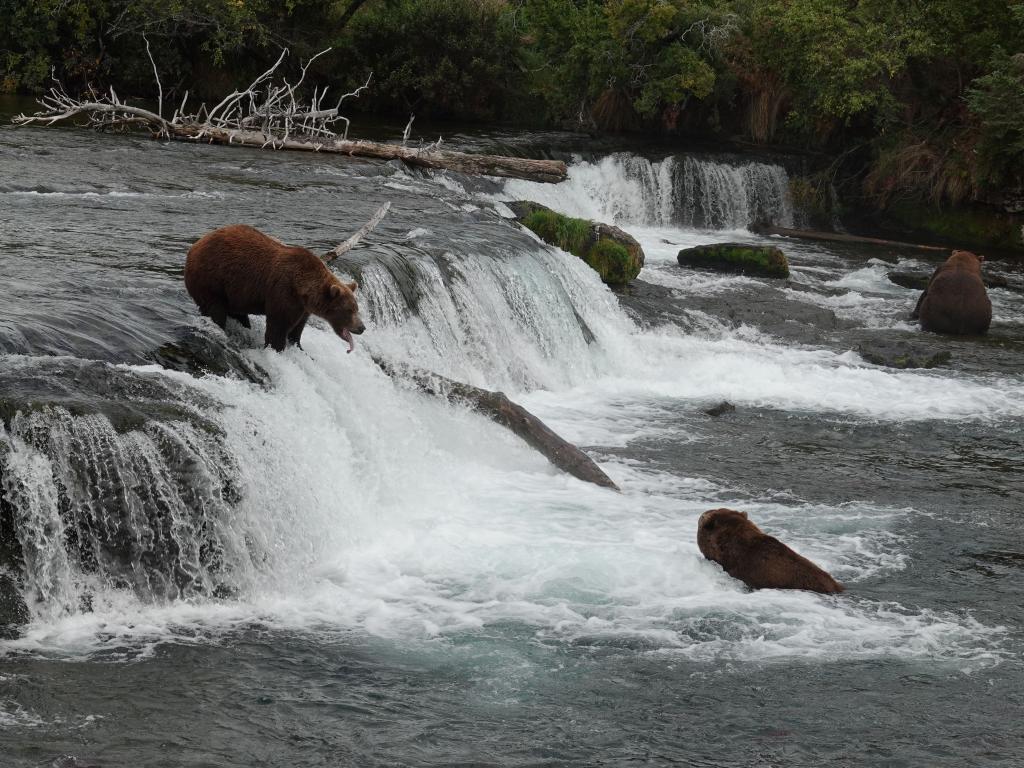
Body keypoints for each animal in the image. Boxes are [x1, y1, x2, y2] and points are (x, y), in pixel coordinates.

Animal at [186, 224, 366, 354]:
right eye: (349, 310)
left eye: (356, 309)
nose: (361, 327)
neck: (303, 289)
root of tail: (195, 246)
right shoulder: (283, 293)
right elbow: (278, 327)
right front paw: (277, 349)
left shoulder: (303, 308)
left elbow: (298, 328)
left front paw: (298, 346)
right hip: (211, 280)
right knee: (215, 309)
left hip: (235, 293)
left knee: (238, 313)